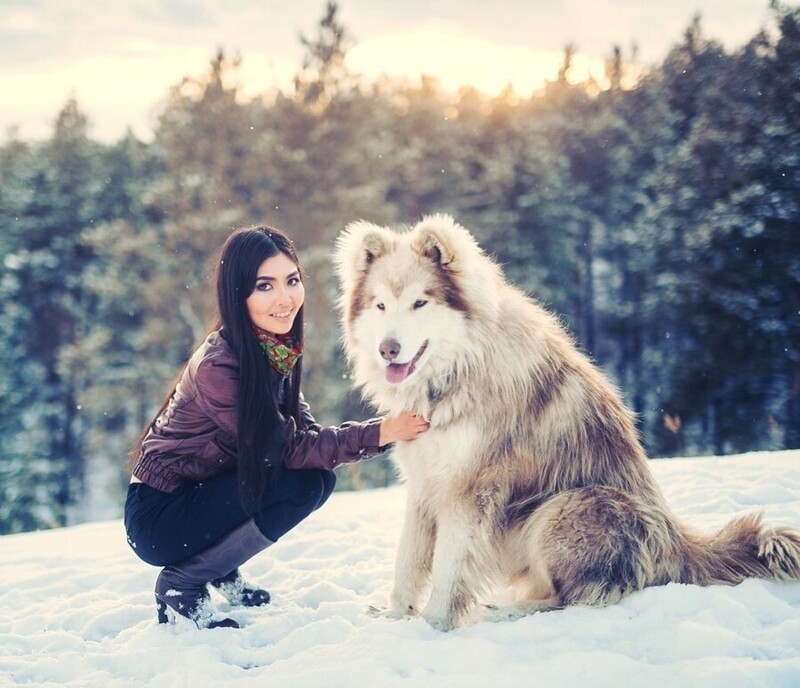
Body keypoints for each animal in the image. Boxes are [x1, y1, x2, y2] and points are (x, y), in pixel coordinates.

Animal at [332, 214, 800, 628]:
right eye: (380, 305)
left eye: (419, 302)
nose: (388, 348)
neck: (456, 372)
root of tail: (677, 543)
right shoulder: (425, 482)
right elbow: (407, 560)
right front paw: (397, 616)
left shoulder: (470, 490)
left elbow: (449, 569)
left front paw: (434, 626)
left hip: (563, 508)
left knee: (575, 598)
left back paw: (510, 612)